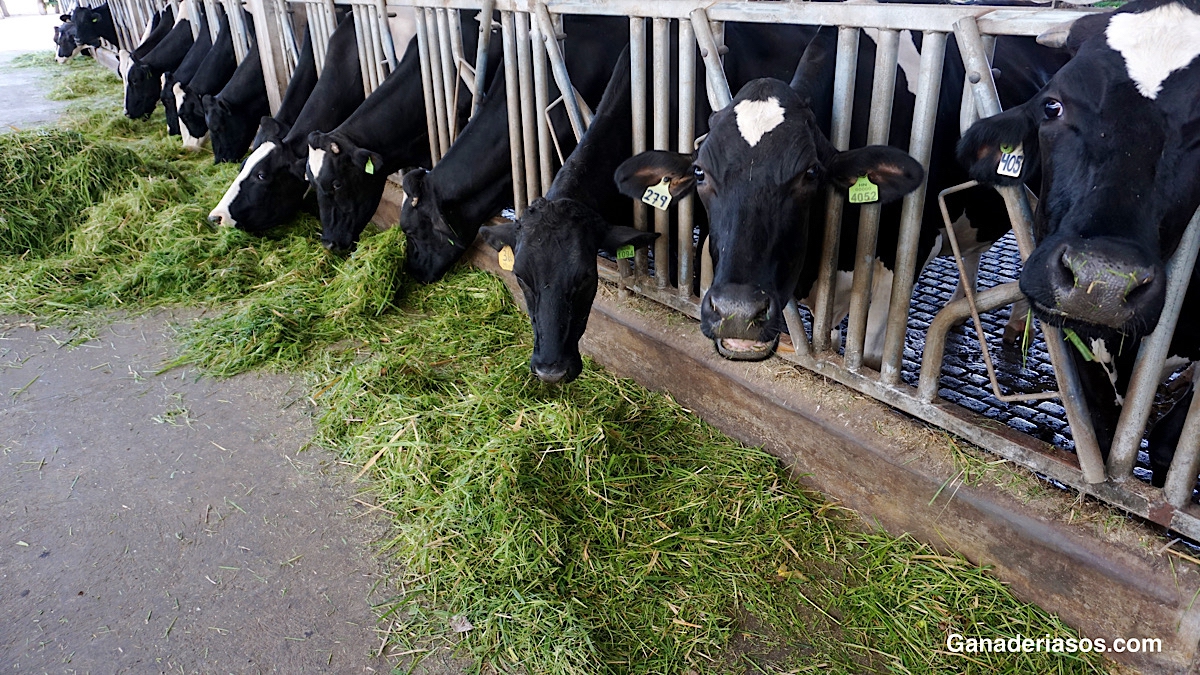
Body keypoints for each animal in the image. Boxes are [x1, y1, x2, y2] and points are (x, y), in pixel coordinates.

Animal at [614, 27, 1066, 368]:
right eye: (700, 172)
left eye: (810, 173)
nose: (737, 314)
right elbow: (825, 341)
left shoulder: (906, 255)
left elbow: (867, 358)